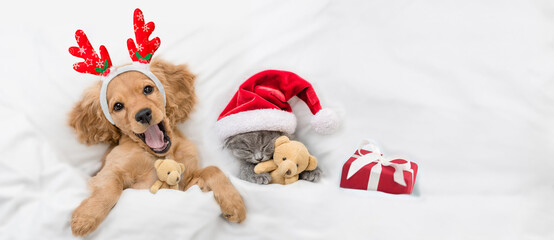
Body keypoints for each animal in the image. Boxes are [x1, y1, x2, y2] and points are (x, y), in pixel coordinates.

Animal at [68, 59, 244, 236]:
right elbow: (110, 189)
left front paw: (234, 202)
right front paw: (86, 217)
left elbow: (212, 169)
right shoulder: (111, 169)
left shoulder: (185, 184)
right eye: (117, 106)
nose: (143, 114)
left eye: (148, 89)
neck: (162, 156)